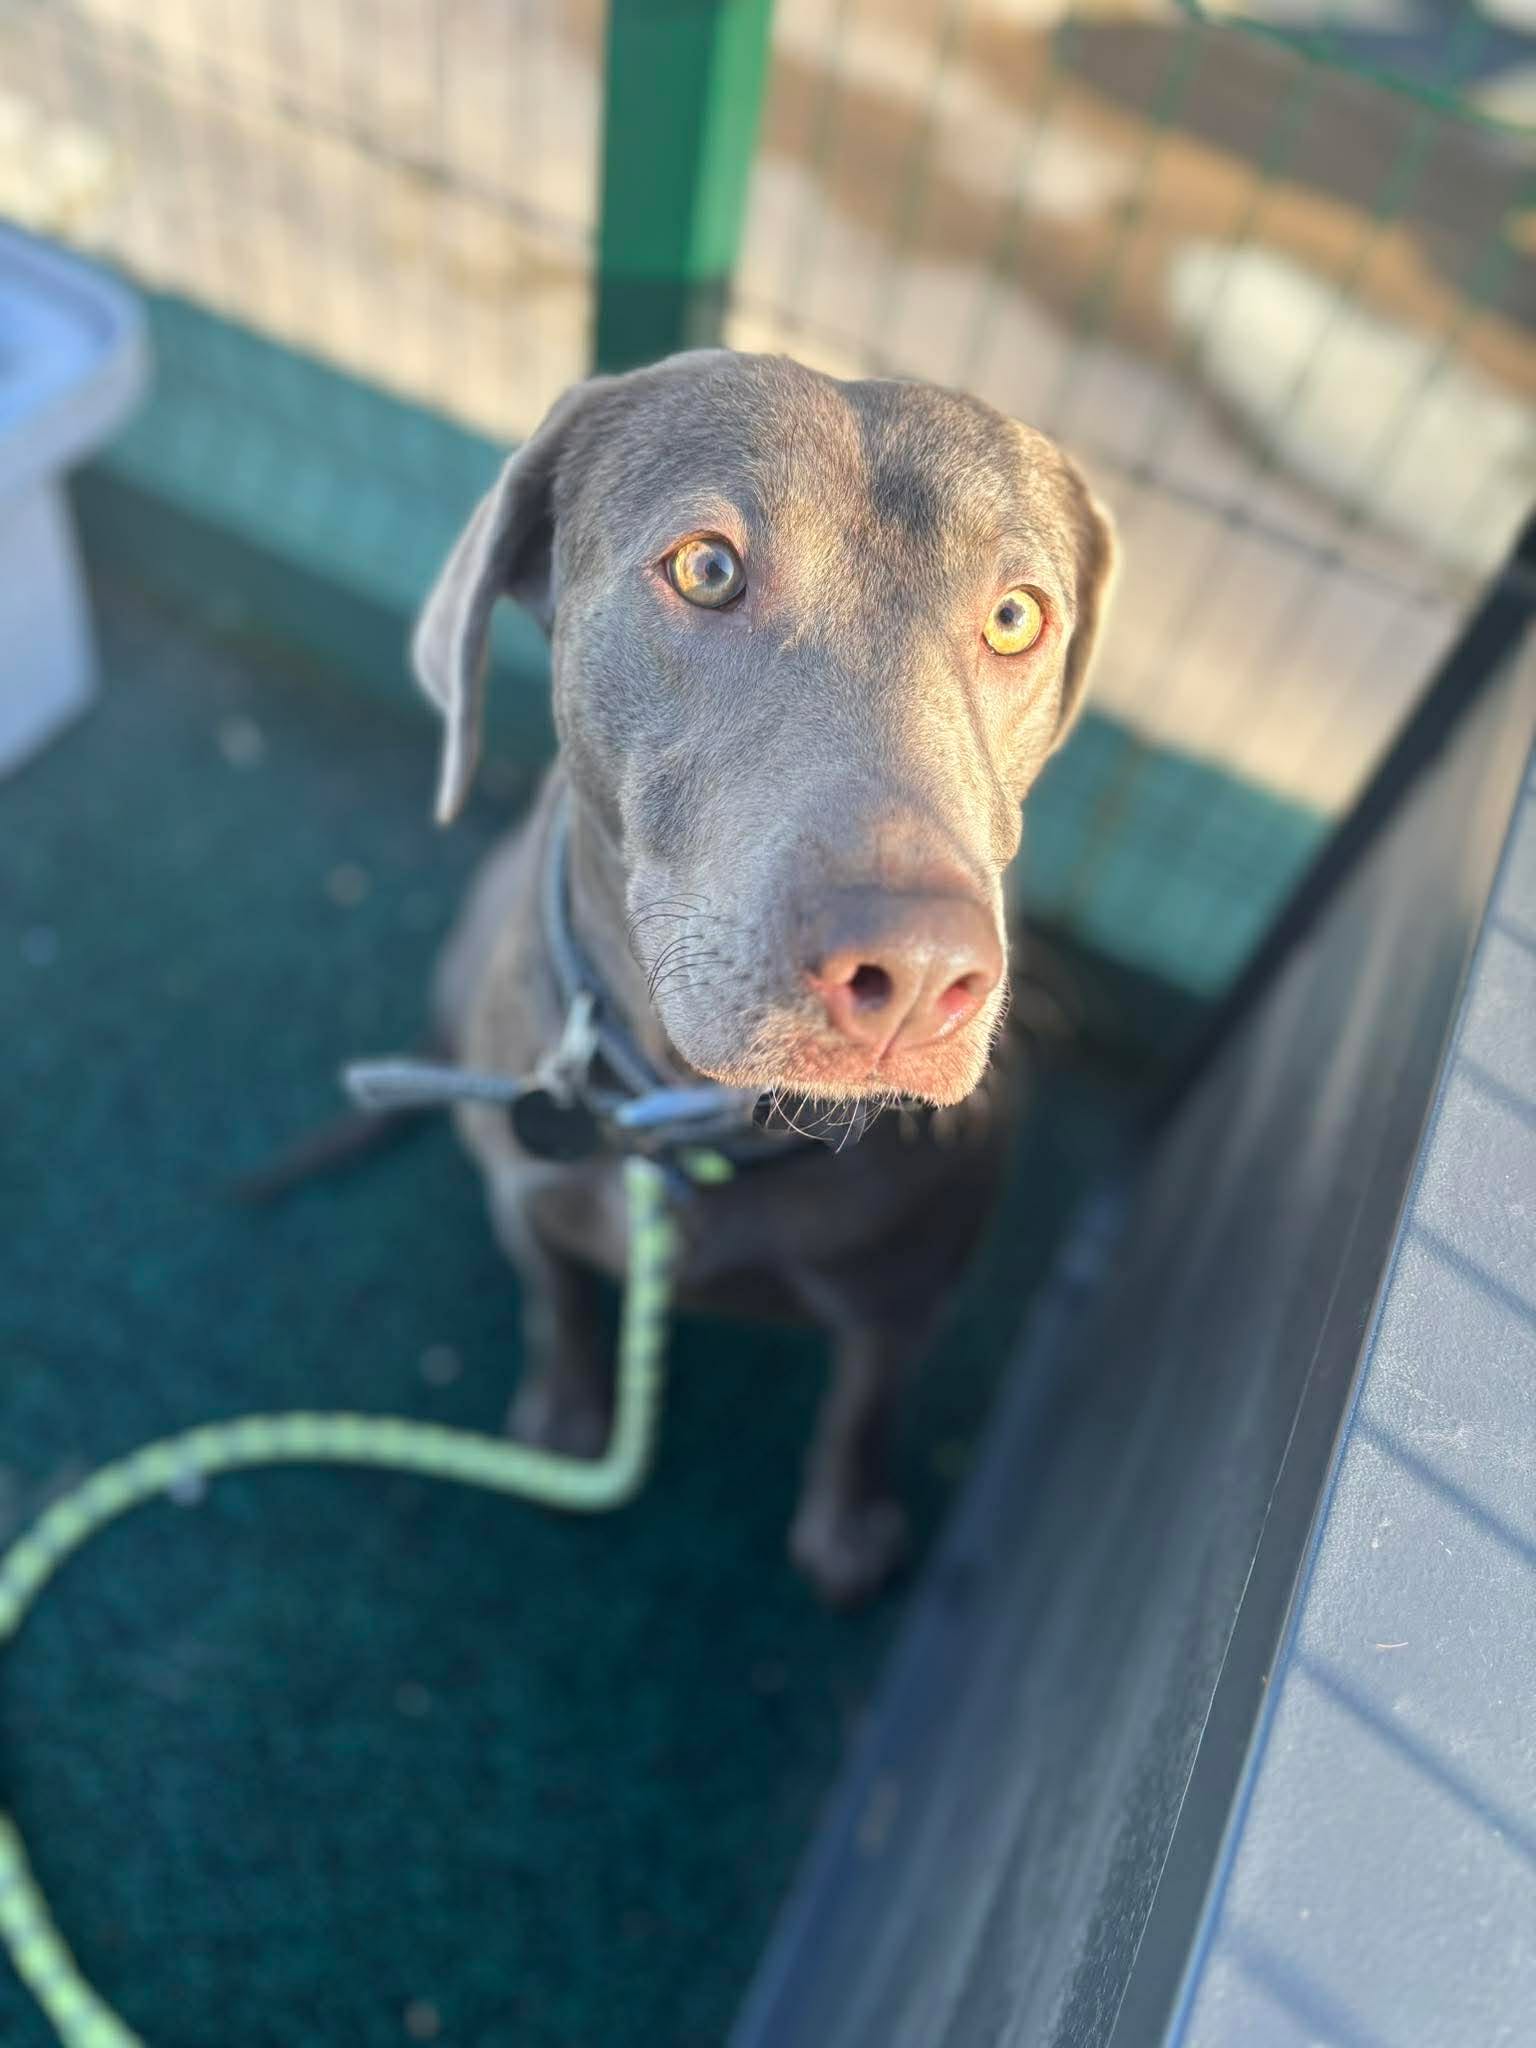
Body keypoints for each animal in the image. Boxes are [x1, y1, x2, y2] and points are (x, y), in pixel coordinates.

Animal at [415, 349, 1115, 1604]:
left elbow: (866, 1398)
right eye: (707, 566)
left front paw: (848, 1531)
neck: (694, 1129)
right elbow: (558, 1296)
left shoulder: (908, 1292)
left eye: (1015, 617)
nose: (917, 967)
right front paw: (564, 1418)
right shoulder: (523, 1190)